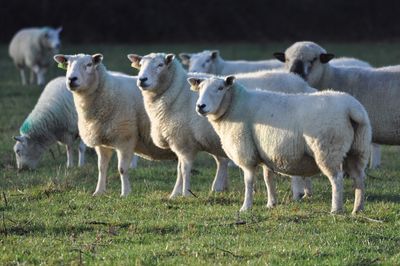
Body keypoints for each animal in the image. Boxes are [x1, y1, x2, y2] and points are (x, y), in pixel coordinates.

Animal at [53, 53, 177, 196]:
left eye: (89, 64)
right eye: (67, 64)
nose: (71, 79)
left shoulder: (125, 138)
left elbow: (122, 169)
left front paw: (125, 193)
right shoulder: (101, 142)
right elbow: (101, 168)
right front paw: (98, 192)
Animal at [189, 75, 374, 214]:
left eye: (220, 88)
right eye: (200, 89)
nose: (200, 106)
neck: (233, 106)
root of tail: (351, 109)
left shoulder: (246, 152)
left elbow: (249, 181)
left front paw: (246, 207)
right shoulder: (266, 153)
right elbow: (268, 179)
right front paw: (271, 203)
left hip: (328, 150)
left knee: (336, 179)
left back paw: (336, 209)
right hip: (358, 149)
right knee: (359, 178)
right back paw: (358, 209)